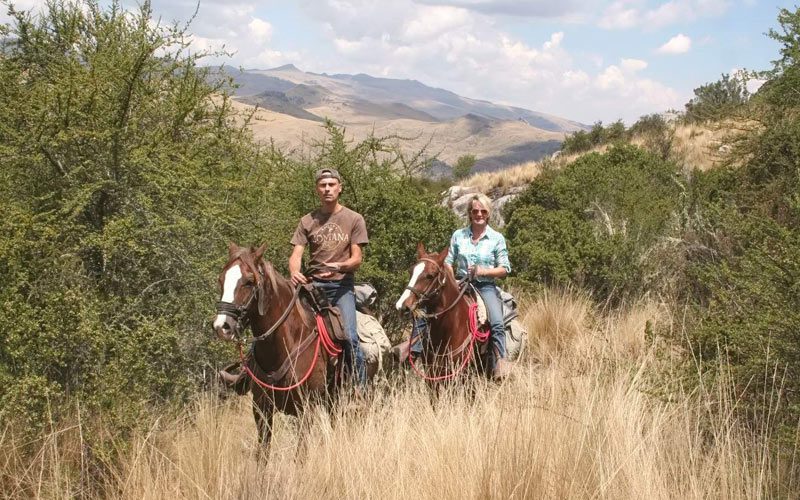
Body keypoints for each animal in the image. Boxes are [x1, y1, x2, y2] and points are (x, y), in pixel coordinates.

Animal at [212, 242, 334, 446]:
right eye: (221, 280)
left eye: (249, 281)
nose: (222, 327)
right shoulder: (261, 410)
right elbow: (262, 451)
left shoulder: (305, 411)